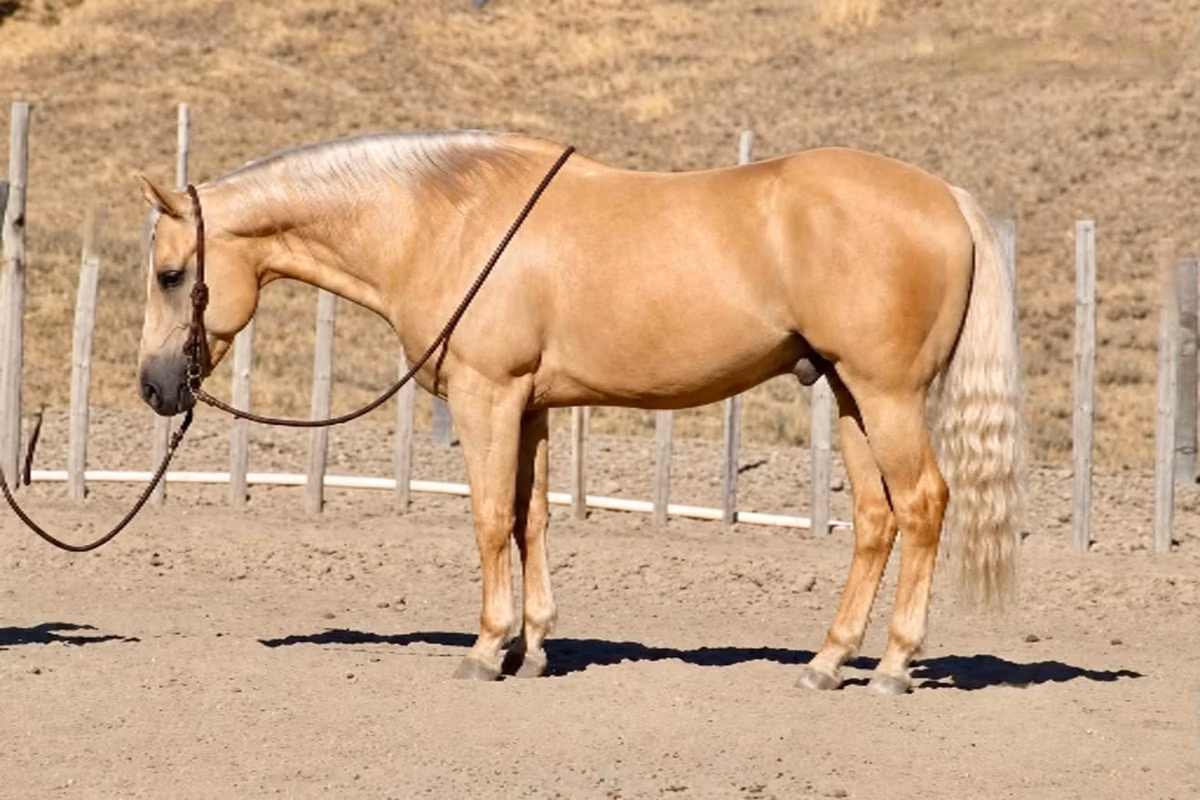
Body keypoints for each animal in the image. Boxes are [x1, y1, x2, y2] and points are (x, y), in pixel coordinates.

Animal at [135, 131, 1023, 694]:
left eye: (172, 275)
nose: (153, 387)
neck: (447, 222)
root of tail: (946, 198)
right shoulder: (528, 405)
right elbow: (531, 519)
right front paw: (533, 650)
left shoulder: (487, 396)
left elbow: (490, 518)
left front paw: (486, 649)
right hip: (847, 396)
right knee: (877, 520)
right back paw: (828, 662)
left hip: (887, 395)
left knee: (923, 505)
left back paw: (893, 667)